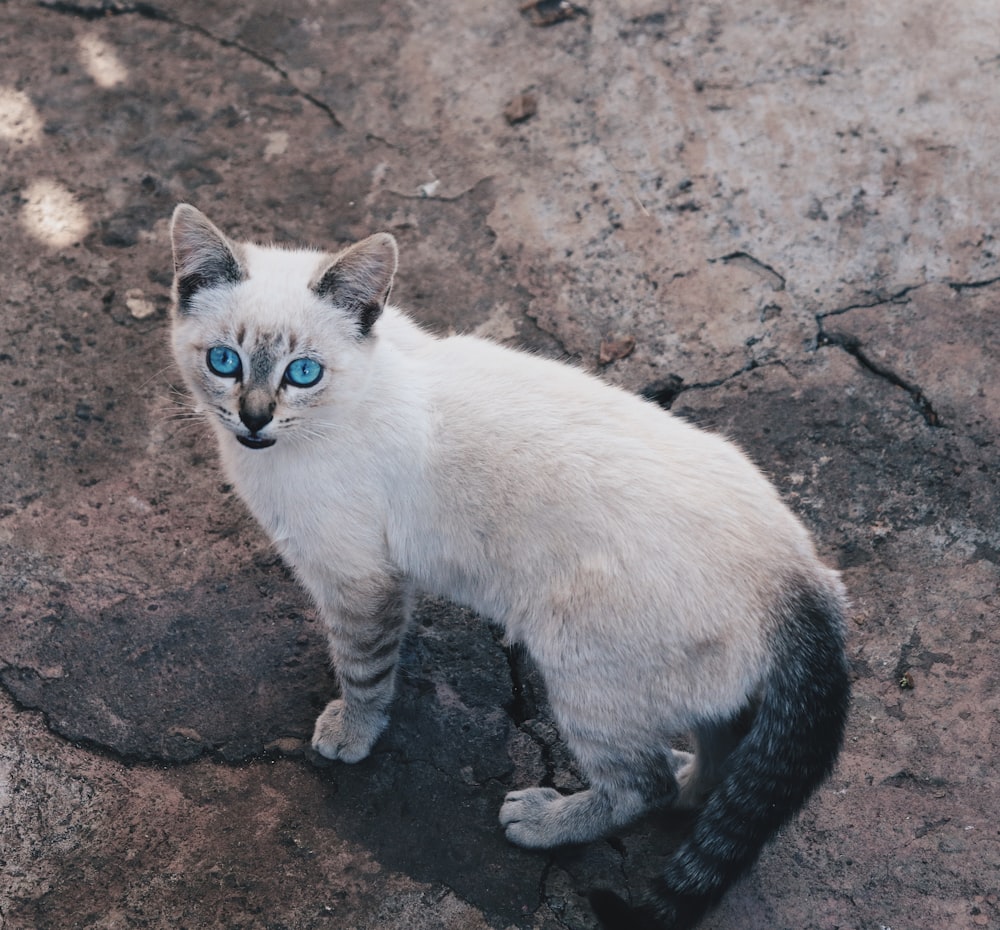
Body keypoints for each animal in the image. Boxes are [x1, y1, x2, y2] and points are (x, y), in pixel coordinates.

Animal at [168, 205, 848, 928]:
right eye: (224, 361)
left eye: (302, 373)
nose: (253, 418)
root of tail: (802, 574)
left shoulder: (360, 582)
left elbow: (363, 673)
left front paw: (351, 735)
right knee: (718, 758)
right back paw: (692, 785)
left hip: (580, 672)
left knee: (644, 785)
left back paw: (548, 820)